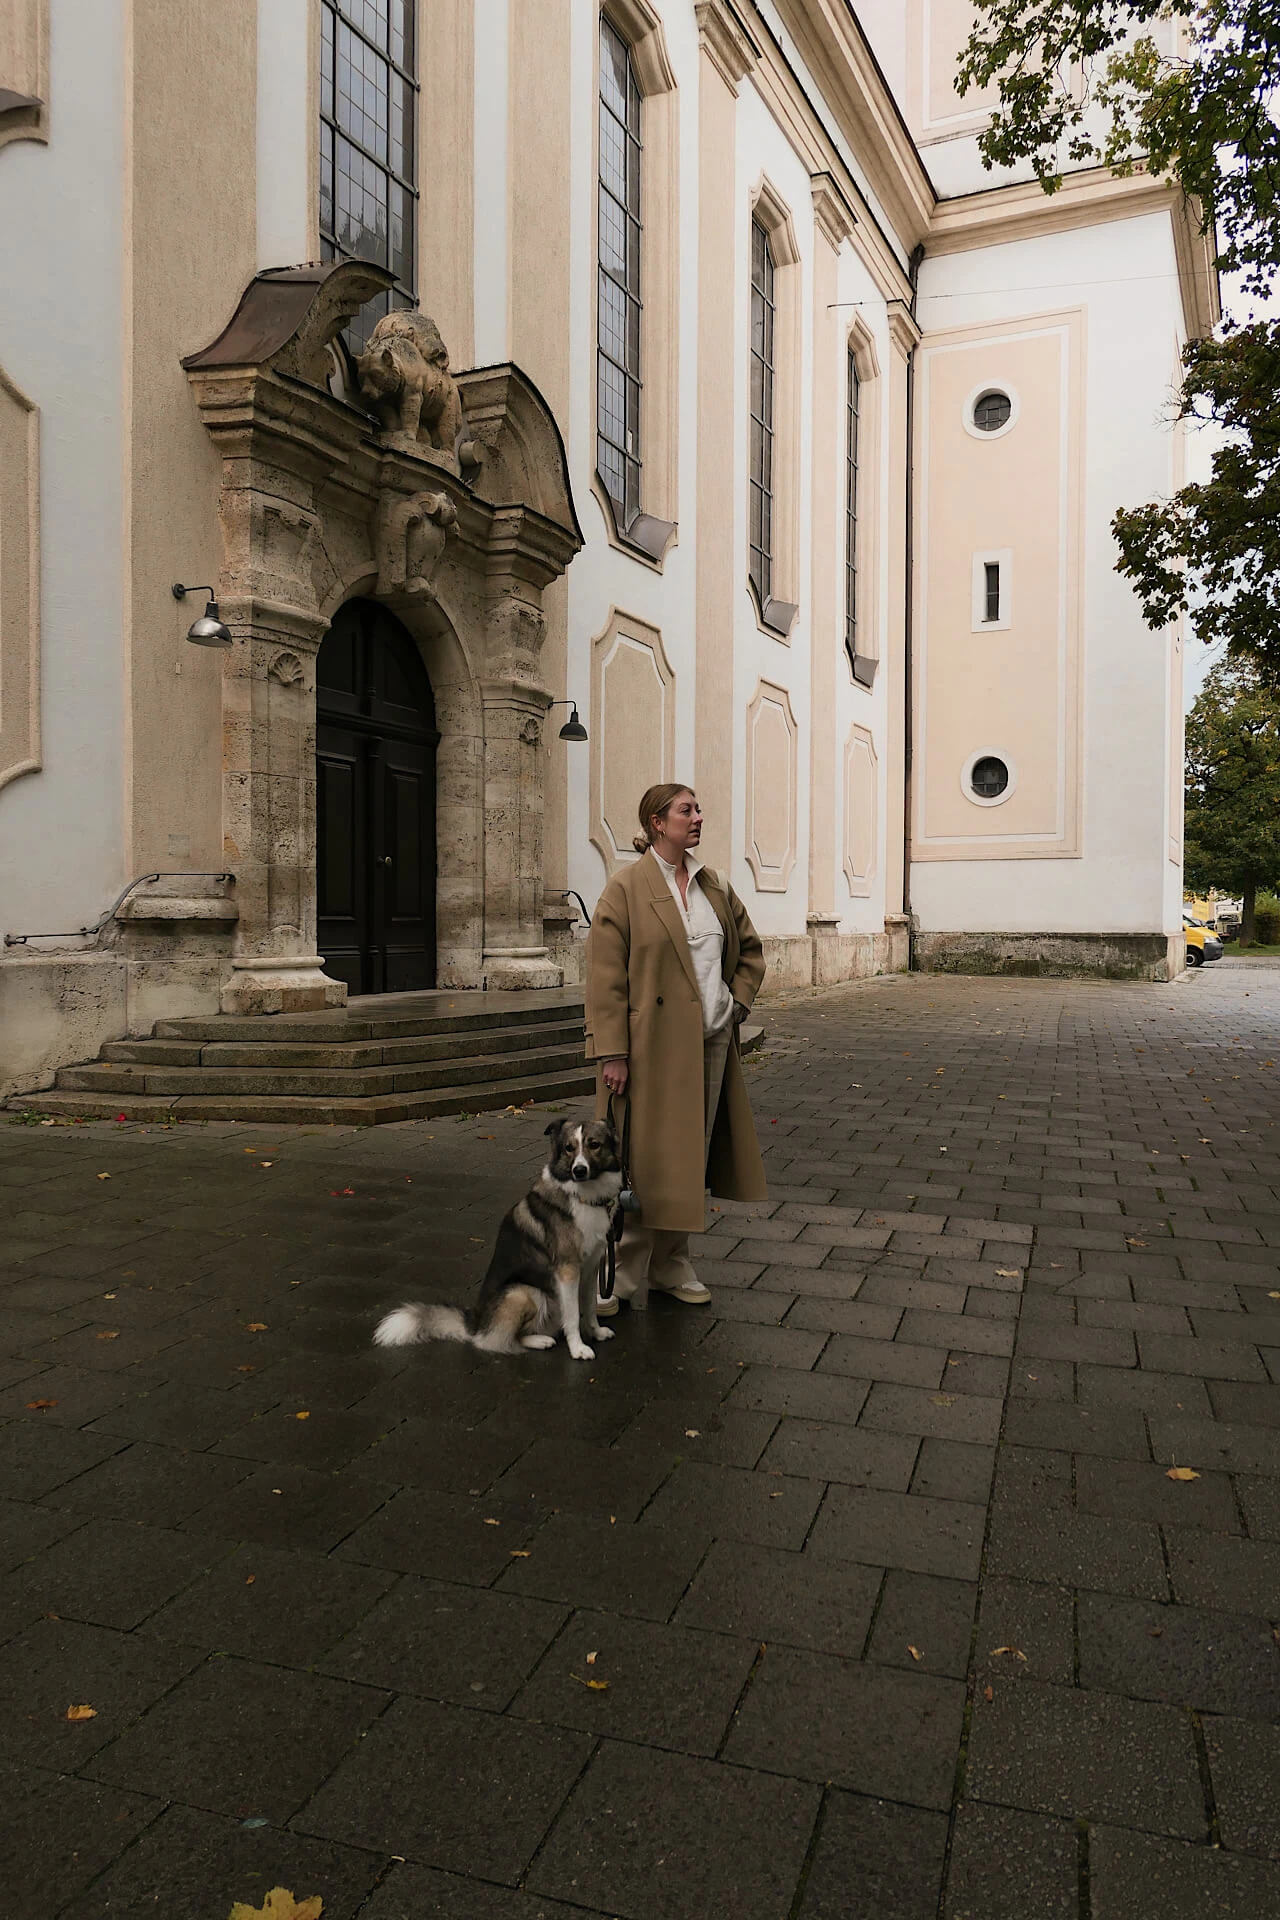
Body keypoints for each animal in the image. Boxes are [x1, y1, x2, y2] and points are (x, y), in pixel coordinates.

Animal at [372, 1113, 621, 1367]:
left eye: (594, 1144)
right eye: (569, 1148)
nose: (579, 1170)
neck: (583, 1195)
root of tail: (476, 1324)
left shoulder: (590, 1268)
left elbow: (589, 1307)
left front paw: (596, 1333)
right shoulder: (568, 1271)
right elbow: (572, 1316)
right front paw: (578, 1348)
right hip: (523, 1292)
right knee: (500, 1339)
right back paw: (540, 1340)